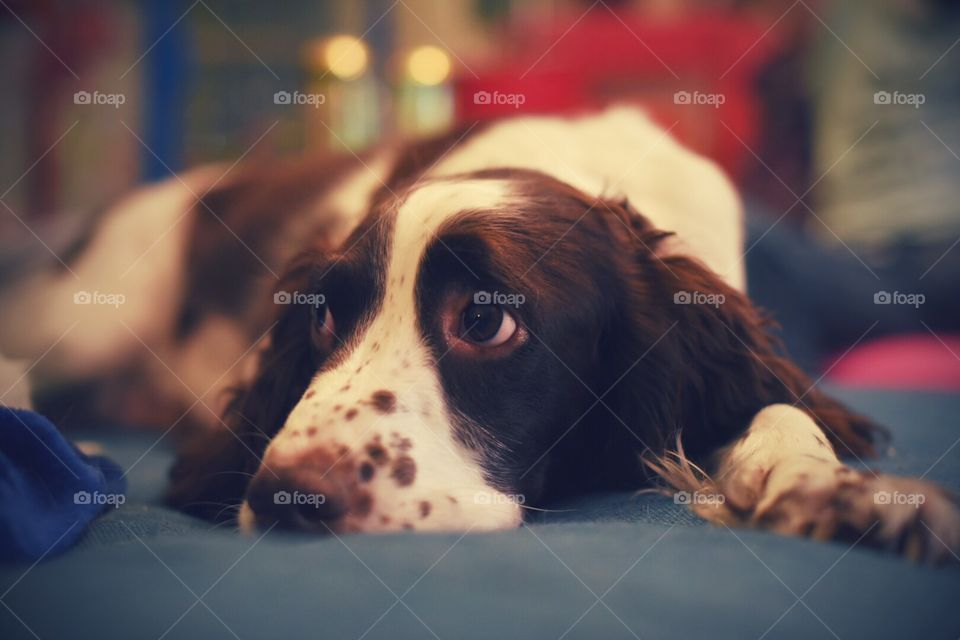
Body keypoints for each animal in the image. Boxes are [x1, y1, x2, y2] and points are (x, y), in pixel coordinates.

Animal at [0, 109, 956, 560]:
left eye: (486, 320)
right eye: (324, 317)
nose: (283, 498)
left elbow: (780, 413)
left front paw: (838, 494)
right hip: (92, 316)